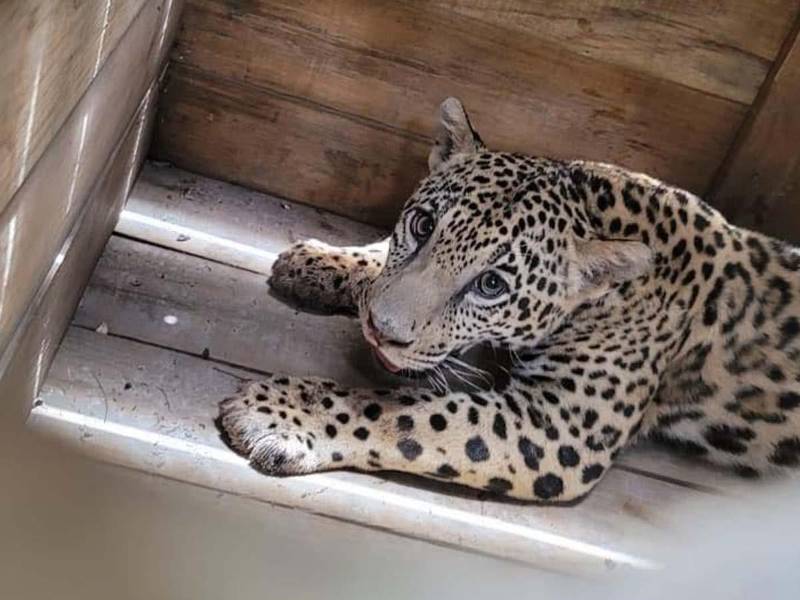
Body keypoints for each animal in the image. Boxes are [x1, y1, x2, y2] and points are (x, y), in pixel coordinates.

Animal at [218, 97, 800, 503]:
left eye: (491, 286)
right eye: (422, 225)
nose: (382, 331)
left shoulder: (559, 426)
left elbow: (406, 413)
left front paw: (280, 413)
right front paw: (319, 262)